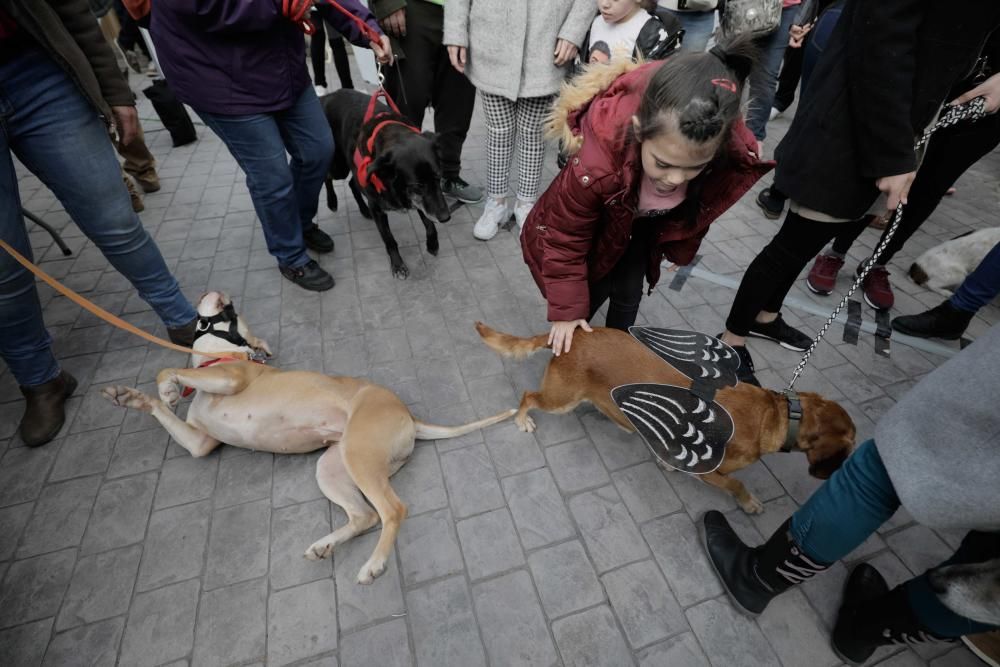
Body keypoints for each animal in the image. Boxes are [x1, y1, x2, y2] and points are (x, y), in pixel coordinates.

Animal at [102, 294, 516, 584]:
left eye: (234, 316)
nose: (225, 297)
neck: (228, 357)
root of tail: (409, 416)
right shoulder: (201, 444)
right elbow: (161, 408)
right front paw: (132, 398)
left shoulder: (231, 378)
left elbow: (166, 369)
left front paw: (168, 387)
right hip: (333, 467)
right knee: (365, 515)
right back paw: (325, 545)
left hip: (360, 456)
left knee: (393, 510)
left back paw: (374, 564)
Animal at [320, 89, 450, 280]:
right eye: (418, 185)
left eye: (438, 177)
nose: (446, 217)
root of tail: (328, 95)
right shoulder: (379, 208)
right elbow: (389, 239)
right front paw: (398, 265)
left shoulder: (416, 199)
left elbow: (428, 222)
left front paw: (432, 243)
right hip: (339, 166)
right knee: (327, 175)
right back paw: (332, 202)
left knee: (352, 183)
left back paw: (363, 209)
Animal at [476, 322, 852, 512]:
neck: (773, 414)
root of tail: (574, 333)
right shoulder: (713, 473)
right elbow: (737, 483)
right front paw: (748, 503)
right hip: (561, 399)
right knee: (528, 397)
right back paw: (522, 418)